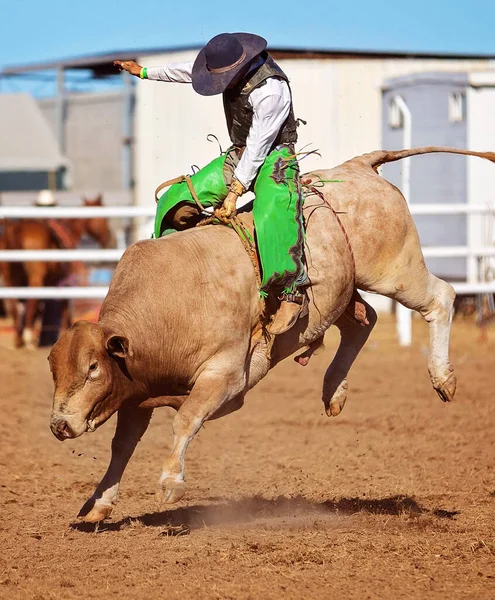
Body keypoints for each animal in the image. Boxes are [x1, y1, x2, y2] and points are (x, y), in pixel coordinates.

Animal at [0, 196, 113, 346]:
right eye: (103, 218)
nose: (107, 238)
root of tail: (15, 229)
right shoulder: (63, 280)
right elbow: (64, 308)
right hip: (35, 278)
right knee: (31, 301)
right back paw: (28, 337)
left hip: (10, 279)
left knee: (14, 306)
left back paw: (19, 339)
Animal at [47, 145, 495, 520]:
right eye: (54, 370)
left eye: (92, 368)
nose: (59, 426)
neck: (167, 308)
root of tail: (358, 166)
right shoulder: (136, 393)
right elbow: (122, 446)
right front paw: (98, 504)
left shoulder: (227, 376)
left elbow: (186, 419)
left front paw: (170, 482)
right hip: (340, 292)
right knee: (362, 320)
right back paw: (334, 389)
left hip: (396, 272)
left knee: (441, 297)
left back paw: (443, 377)